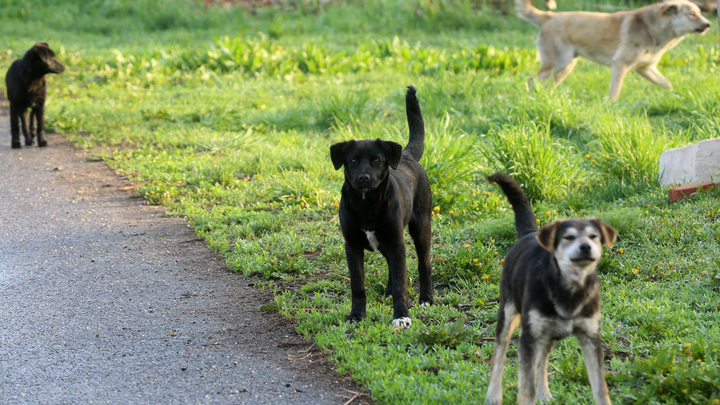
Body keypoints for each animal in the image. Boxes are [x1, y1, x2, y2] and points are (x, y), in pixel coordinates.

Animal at [330, 86, 434, 328]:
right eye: (353, 160)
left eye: (377, 160)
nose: (363, 178)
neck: (367, 203)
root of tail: (406, 154)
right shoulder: (352, 245)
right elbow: (358, 285)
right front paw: (356, 315)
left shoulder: (396, 242)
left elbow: (401, 283)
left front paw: (402, 316)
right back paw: (388, 292)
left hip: (420, 227)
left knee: (424, 264)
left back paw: (426, 299)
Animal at [486, 171, 616, 404]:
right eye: (568, 237)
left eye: (594, 236)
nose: (586, 247)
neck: (571, 288)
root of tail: (530, 233)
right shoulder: (529, 337)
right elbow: (525, 387)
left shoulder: (591, 336)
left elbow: (601, 388)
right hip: (509, 314)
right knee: (499, 356)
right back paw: (493, 395)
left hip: (549, 333)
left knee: (543, 360)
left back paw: (544, 394)